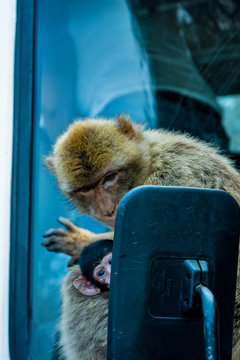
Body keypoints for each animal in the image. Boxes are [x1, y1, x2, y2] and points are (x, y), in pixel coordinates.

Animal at [43, 116, 240, 360]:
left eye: (109, 178)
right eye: (86, 189)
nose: (107, 210)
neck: (149, 163)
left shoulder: (165, 188)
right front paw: (80, 241)